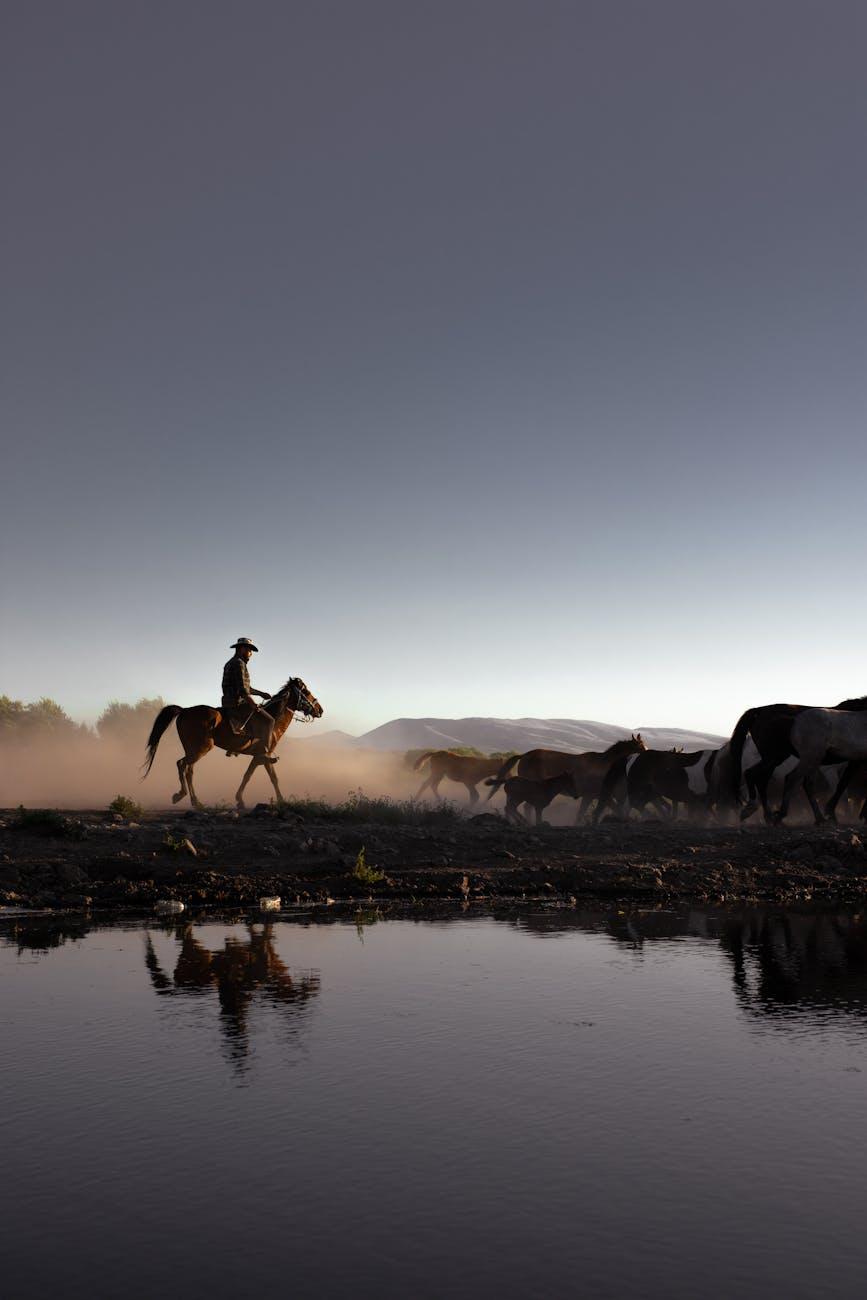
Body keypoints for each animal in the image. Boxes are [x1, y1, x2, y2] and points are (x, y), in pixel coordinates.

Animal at [144, 676, 323, 806]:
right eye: (306, 691)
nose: (320, 710)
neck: (275, 720)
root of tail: (184, 710)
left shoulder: (257, 757)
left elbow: (247, 776)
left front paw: (239, 799)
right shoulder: (264, 755)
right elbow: (274, 778)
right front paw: (282, 801)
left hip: (192, 750)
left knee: (188, 769)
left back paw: (192, 799)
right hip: (201, 748)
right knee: (182, 765)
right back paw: (185, 797)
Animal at [488, 738, 644, 816]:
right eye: (641, 746)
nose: (646, 754)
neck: (603, 765)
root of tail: (524, 755)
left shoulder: (594, 796)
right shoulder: (592, 795)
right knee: (527, 807)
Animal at [727, 702, 867, 821]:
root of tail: (758, 710)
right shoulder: (836, 768)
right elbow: (842, 786)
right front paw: (836, 813)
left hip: (780, 759)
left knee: (759, 779)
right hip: (781, 758)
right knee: (770, 778)